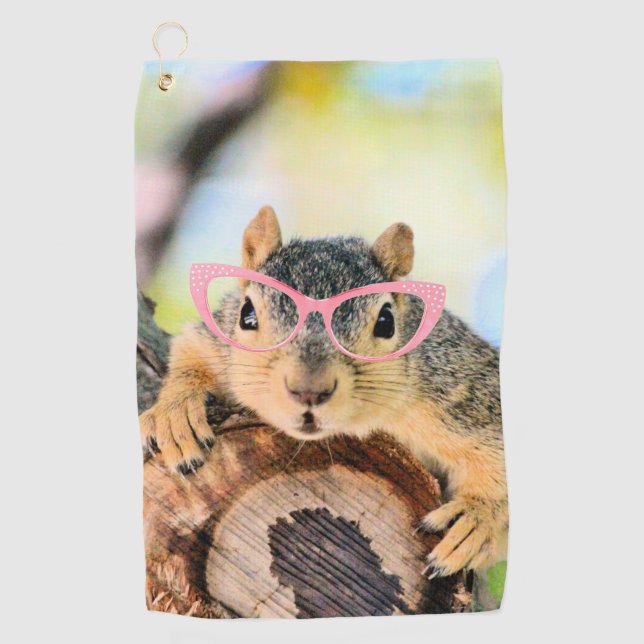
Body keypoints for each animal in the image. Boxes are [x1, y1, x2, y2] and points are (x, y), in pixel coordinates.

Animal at [140, 205, 508, 578]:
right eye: (247, 314)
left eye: (386, 321)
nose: (309, 391)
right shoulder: (218, 340)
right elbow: (191, 351)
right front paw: (175, 414)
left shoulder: (459, 390)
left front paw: (478, 519)